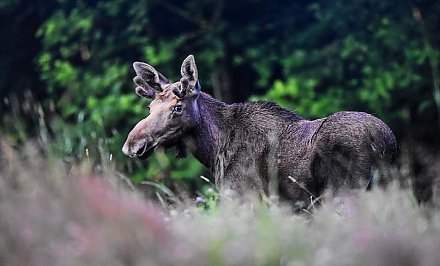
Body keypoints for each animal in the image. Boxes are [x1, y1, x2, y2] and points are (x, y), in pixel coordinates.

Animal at [122, 55, 398, 207]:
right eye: (150, 106)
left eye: (177, 107)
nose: (132, 145)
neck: (213, 150)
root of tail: (387, 142)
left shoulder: (243, 196)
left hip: (347, 190)